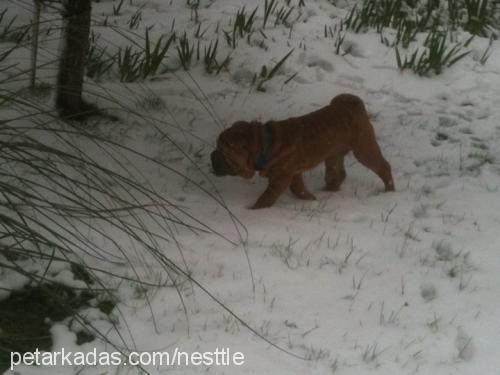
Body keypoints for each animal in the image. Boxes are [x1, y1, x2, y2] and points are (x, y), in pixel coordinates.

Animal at [211, 94, 394, 210]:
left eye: (223, 151)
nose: (212, 156)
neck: (265, 145)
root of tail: (352, 102)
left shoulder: (281, 177)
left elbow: (267, 196)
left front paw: (255, 210)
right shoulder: (294, 174)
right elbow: (298, 189)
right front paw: (310, 199)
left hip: (364, 149)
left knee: (384, 167)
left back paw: (389, 191)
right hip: (333, 154)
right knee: (337, 174)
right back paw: (327, 191)